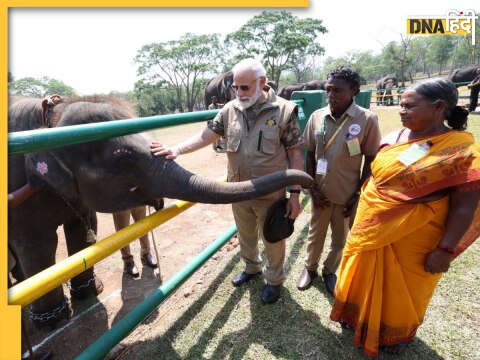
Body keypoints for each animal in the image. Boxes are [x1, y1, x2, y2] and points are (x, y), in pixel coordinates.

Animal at [9, 94, 314, 328]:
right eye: (123, 161)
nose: (309, 182)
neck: (50, 122)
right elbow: (37, 243)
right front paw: (54, 322)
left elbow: (83, 231)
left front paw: (90, 293)